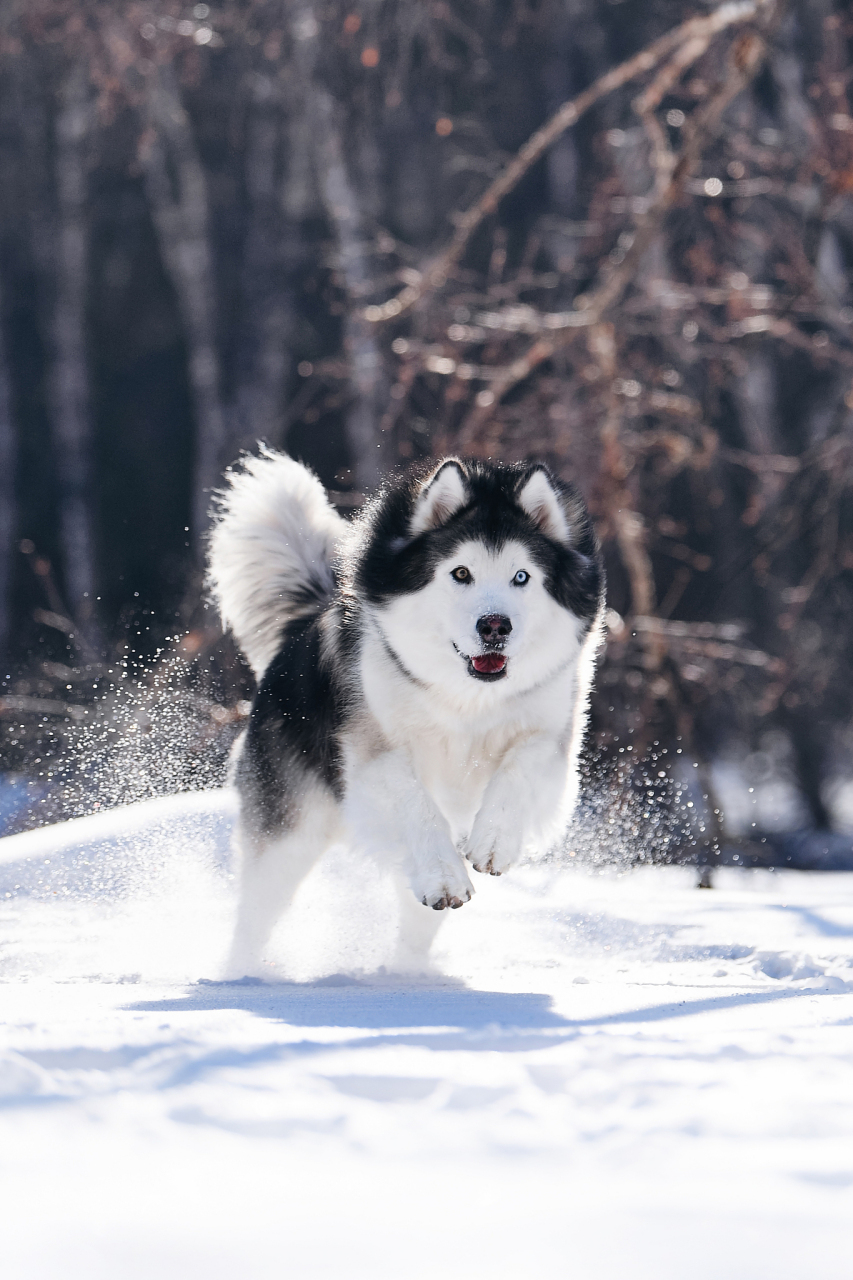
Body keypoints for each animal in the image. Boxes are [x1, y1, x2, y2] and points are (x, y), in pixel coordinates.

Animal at [206, 450, 604, 967]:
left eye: (521, 577)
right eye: (461, 573)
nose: (495, 625)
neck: (466, 695)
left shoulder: (551, 732)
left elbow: (521, 766)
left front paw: (494, 840)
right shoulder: (373, 749)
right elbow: (417, 802)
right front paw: (445, 875)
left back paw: (406, 971)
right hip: (290, 832)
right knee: (256, 915)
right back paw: (242, 973)